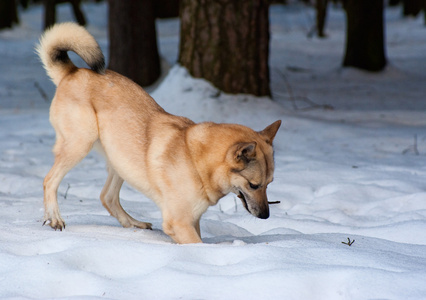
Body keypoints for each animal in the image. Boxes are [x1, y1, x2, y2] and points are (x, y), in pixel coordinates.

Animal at [37, 22, 282, 244]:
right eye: (254, 185)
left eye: (269, 183)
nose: (266, 216)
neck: (197, 161)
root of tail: (73, 71)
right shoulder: (179, 222)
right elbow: (199, 245)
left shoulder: (192, 221)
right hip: (80, 144)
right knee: (50, 180)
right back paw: (55, 218)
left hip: (120, 160)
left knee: (107, 197)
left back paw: (134, 223)